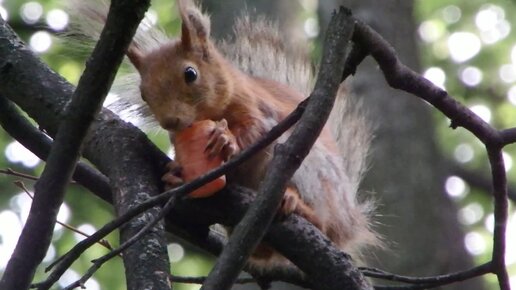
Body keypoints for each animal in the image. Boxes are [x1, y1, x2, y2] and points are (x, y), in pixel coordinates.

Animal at [69, 0, 378, 266]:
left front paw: (227, 141)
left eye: (190, 74)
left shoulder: (258, 110)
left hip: (313, 172)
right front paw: (175, 173)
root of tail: (347, 219)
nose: (171, 121)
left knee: (323, 224)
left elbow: (254, 132)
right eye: (144, 93)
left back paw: (297, 204)